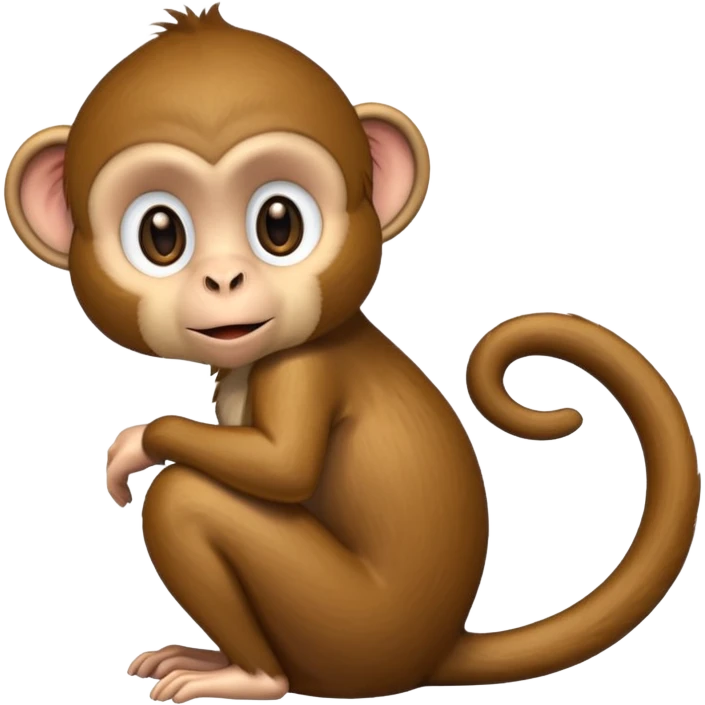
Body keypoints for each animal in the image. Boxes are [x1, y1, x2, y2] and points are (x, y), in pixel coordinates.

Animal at [3, 4, 701, 703]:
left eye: (279, 224)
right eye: (161, 235)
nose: (224, 279)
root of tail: (433, 654)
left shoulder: (300, 369)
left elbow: (281, 467)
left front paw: (137, 443)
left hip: (346, 631)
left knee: (184, 500)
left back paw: (252, 677)